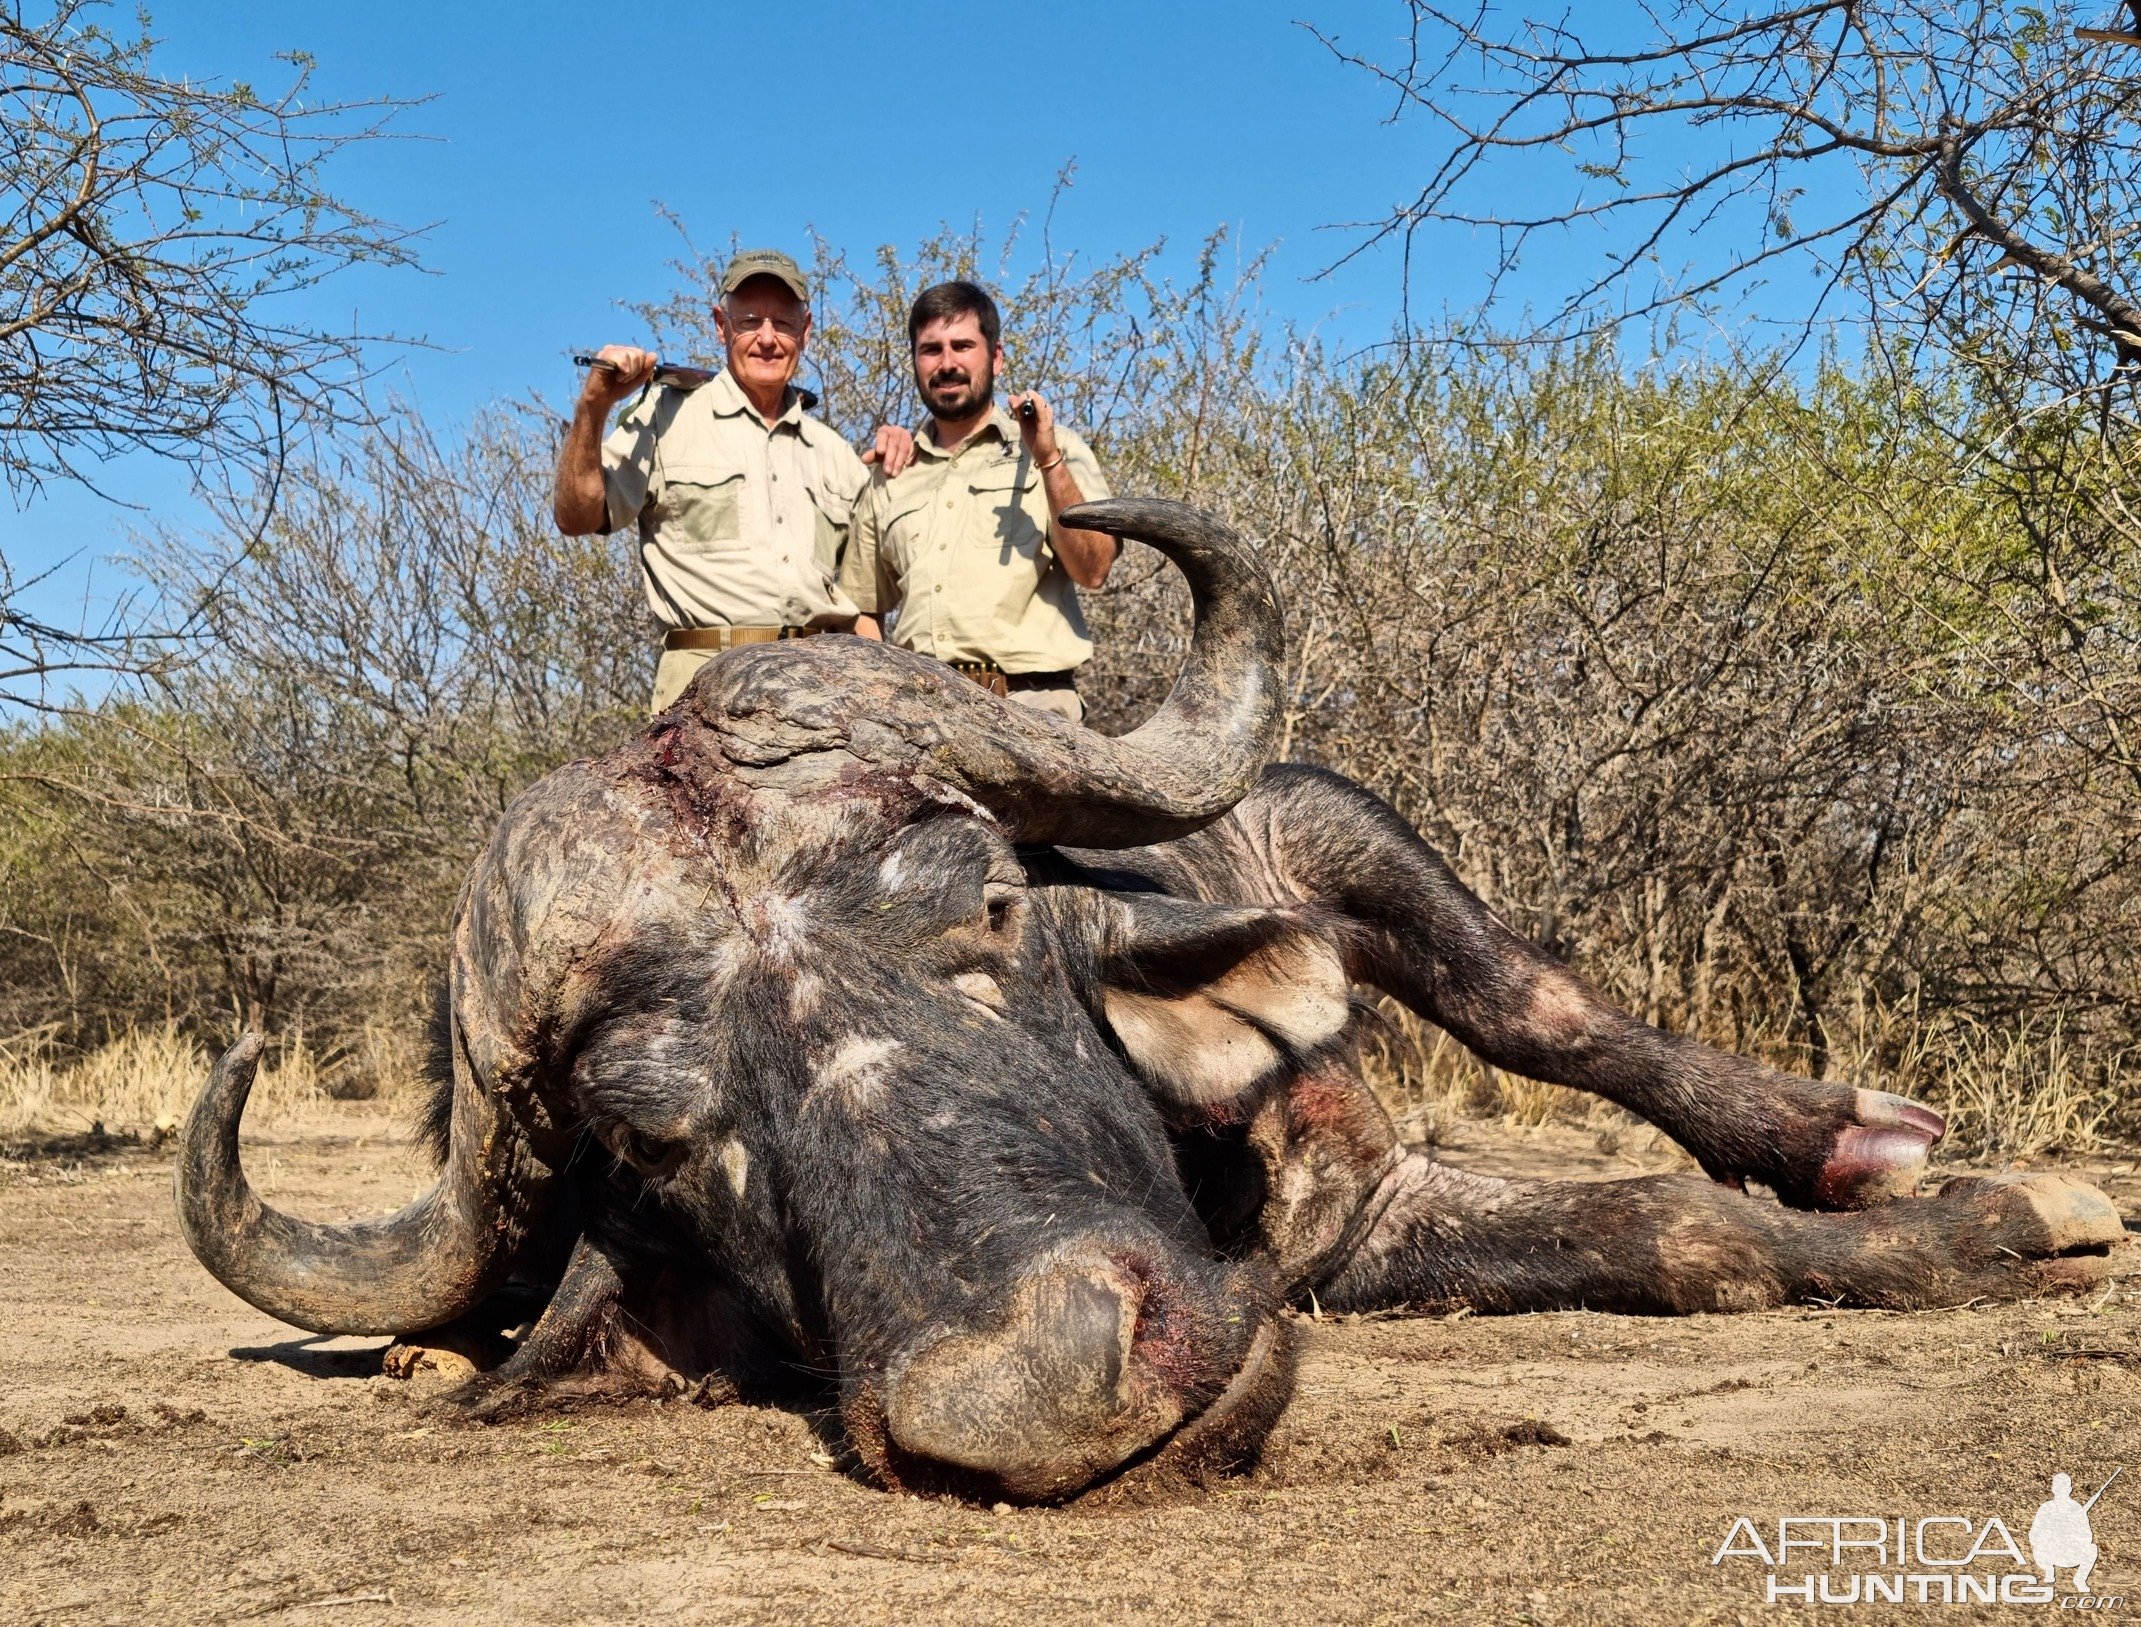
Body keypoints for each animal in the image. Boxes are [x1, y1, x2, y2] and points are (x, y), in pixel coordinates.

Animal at [175, 496, 2132, 1498]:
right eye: (657, 1134)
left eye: (981, 906)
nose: (1046, 1384)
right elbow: (1661, 1228)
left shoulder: (1367, 1163)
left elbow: (1671, 1208)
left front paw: (1987, 1214)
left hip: (1342, 826)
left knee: (1545, 1008)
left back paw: (1863, 1138)